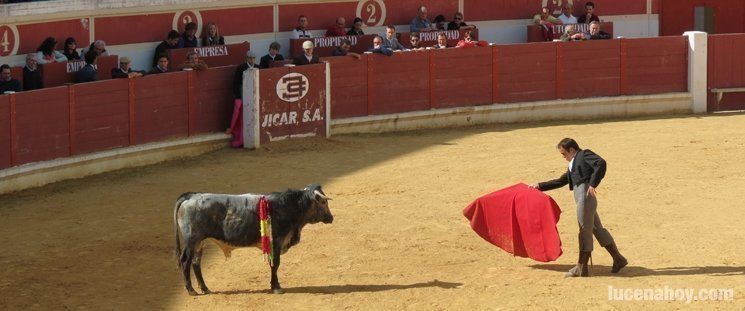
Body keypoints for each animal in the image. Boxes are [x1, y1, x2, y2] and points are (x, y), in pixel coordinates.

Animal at [174, 184, 332, 296]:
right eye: (324, 202)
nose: (331, 218)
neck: (288, 206)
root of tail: (191, 196)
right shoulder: (276, 241)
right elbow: (275, 264)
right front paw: (276, 287)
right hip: (191, 241)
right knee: (185, 261)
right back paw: (191, 290)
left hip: (199, 242)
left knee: (196, 263)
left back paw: (205, 288)